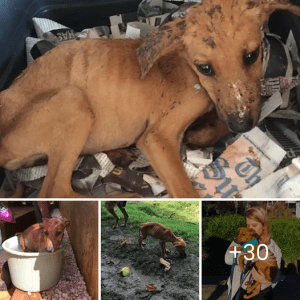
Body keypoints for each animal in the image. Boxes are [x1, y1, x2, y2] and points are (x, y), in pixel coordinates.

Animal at [0, 0, 300, 199]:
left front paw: (201, 133)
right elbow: (186, 191)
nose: (242, 126)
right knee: (54, 190)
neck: (185, 65)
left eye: (251, 55)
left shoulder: (224, 107)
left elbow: (215, 123)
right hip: (72, 100)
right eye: (205, 68)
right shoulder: (157, 137)